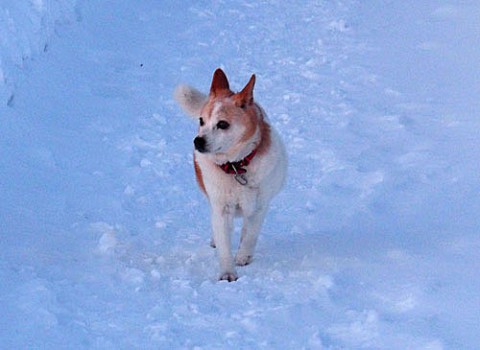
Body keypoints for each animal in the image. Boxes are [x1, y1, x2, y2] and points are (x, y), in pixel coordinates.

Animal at [174, 68, 286, 282]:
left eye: (223, 124)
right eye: (201, 121)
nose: (198, 141)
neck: (236, 166)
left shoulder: (260, 206)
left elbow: (250, 235)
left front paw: (243, 256)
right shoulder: (221, 208)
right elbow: (224, 244)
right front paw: (227, 273)